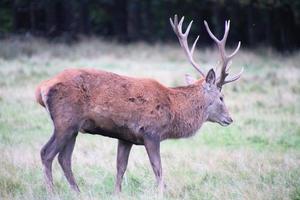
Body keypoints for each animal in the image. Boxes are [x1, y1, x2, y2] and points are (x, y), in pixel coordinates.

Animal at [35, 15, 243, 194]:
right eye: (221, 97)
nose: (230, 118)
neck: (173, 109)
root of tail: (41, 88)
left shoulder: (125, 137)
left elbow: (120, 168)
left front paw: (117, 193)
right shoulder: (151, 132)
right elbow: (158, 169)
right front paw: (161, 193)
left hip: (74, 128)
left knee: (64, 158)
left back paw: (78, 192)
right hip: (65, 120)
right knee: (47, 153)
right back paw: (52, 192)